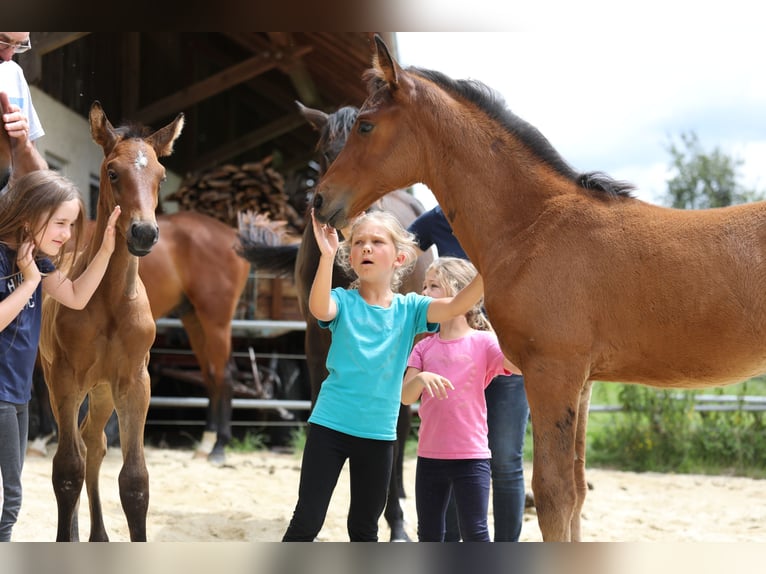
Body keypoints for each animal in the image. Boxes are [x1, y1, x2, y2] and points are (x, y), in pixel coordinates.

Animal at [38, 101, 184, 541]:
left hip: (102, 390)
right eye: (113, 172)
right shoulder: (66, 377)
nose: (144, 232)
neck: (110, 301)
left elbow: (135, 481)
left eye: (161, 176)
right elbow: (66, 469)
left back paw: (99, 535)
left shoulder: (135, 382)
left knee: (95, 441)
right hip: (58, 381)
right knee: (79, 446)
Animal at [311, 35, 766, 542]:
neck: (534, 226)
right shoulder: (582, 383)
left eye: (366, 125)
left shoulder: (552, 373)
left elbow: (553, 495)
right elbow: (578, 492)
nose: (320, 200)